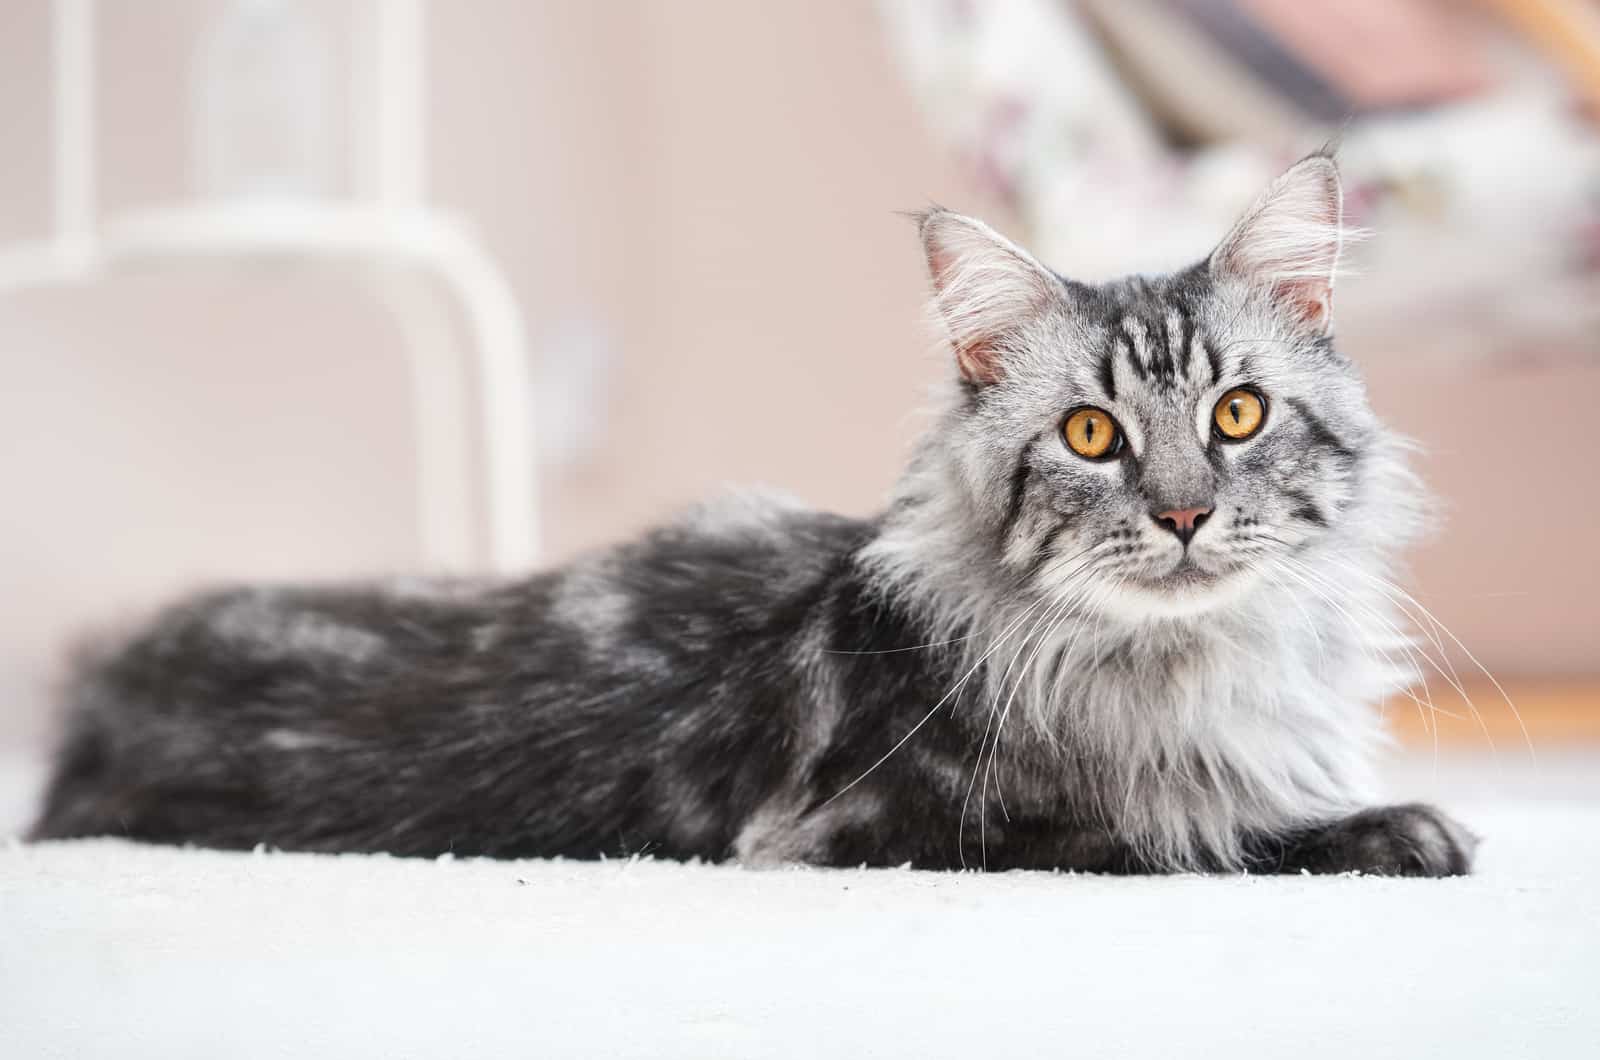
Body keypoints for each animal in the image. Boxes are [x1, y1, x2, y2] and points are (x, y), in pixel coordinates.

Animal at [28, 153, 1472, 877]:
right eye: (1089, 436)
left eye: (1237, 415)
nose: (1180, 515)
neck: (1185, 666)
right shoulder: (878, 829)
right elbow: (1185, 834)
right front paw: (1393, 830)